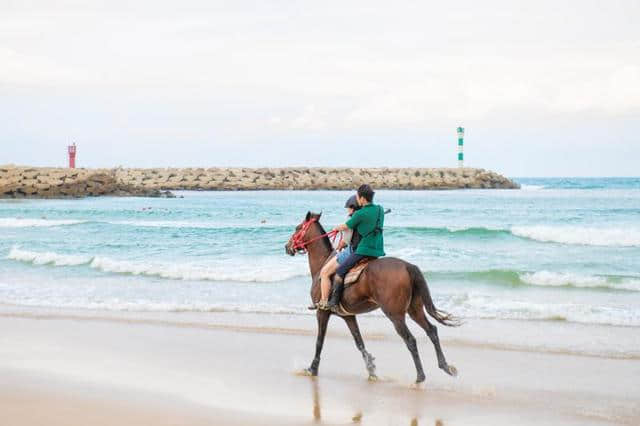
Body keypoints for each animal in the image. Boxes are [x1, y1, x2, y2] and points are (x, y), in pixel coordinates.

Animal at [286, 211, 460, 384]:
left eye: (298, 228)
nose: (287, 246)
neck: (322, 265)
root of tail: (407, 266)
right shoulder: (348, 316)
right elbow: (359, 342)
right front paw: (371, 369)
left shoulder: (322, 312)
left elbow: (319, 342)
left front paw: (312, 369)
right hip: (414, 310)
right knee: (432, 331)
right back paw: (445, 366)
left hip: (395, 315)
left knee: (410, 340)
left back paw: (420, 376)